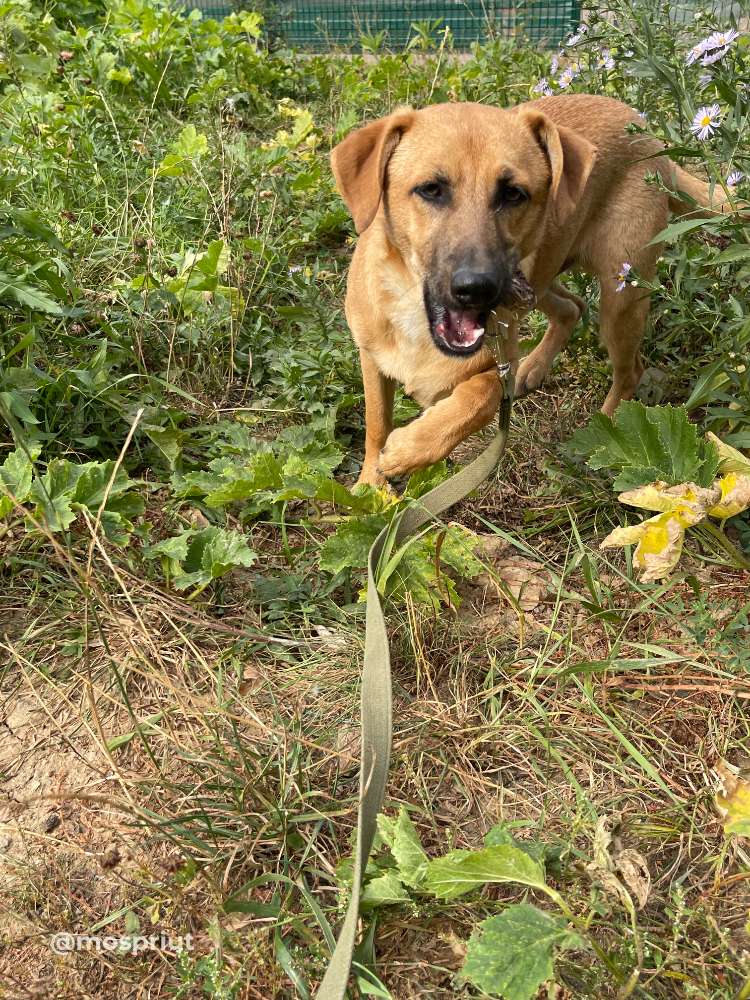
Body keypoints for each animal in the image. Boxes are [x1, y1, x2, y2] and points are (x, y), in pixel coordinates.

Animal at [330, 95, 736, 486]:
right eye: (431, 189)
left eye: (513, 194)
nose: (477, 288)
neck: (414, 316)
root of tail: (645, 130)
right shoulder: (371, 358)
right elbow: (376, 424)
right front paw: (370, 485)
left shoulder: (498, 362)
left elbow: (480, 395)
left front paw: (410, 450)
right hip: (539, 281)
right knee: (573, 307)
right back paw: (536, 366)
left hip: (620, 297)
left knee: (629, 370)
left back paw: (606, 433)